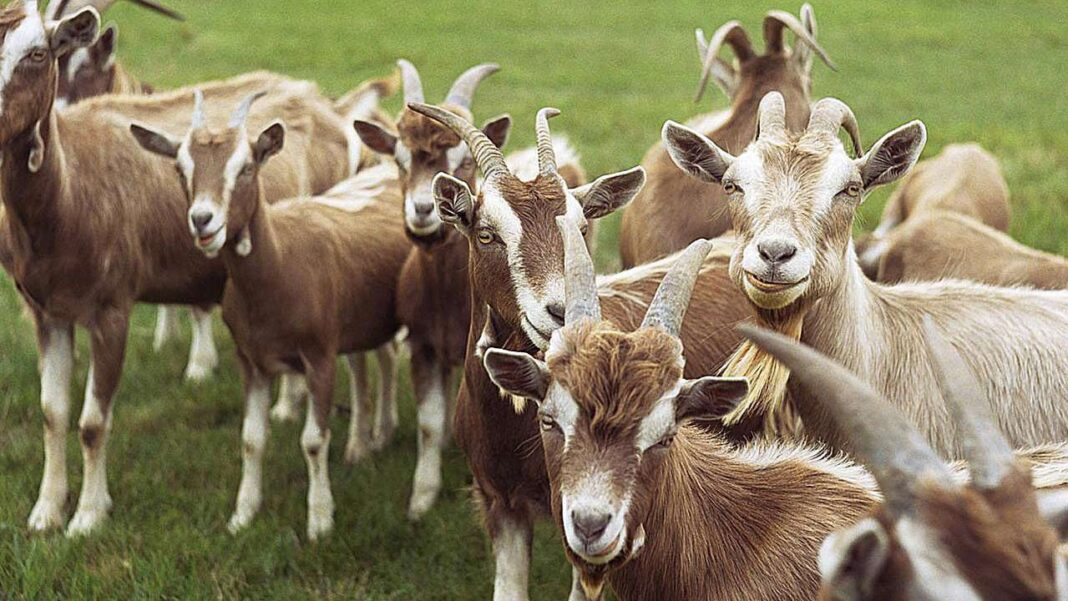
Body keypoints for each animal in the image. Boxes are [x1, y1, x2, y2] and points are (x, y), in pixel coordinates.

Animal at [0, 1, 364, 536]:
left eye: (39, 53)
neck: (70, 192)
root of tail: (325, 106)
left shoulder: (112, 309)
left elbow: (92, 423)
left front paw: (88, 516)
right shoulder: (48, 312)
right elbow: (53, 413)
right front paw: (46, 512)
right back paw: (287, 404)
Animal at [133, 96, 410, 540]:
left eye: (246, 166)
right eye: (180, 168)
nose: (203, 220)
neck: (281, 266)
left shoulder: (319, 357)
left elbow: (313, 440)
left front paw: (320, 520)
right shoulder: (252, 360)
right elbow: (251, 439)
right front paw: (243, 515)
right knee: (377, 359)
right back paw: (368, 441)